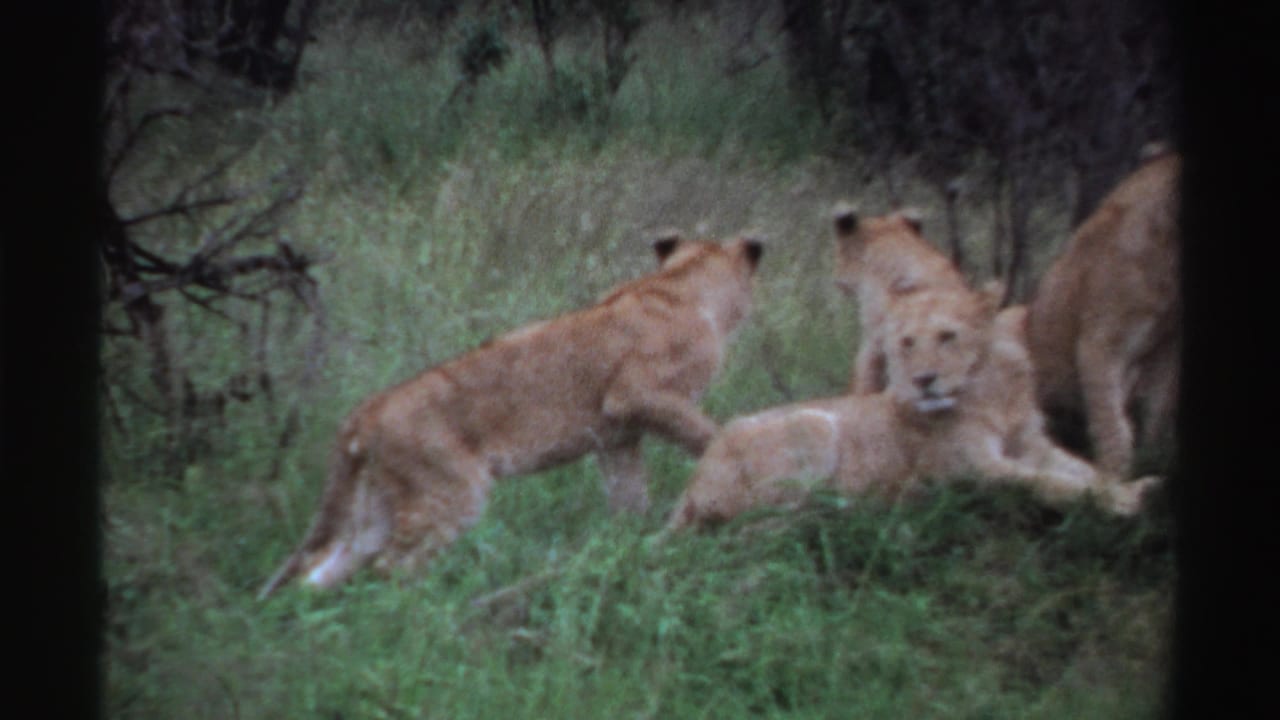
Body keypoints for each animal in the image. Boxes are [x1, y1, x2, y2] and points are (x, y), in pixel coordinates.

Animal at [259, 233, 764, 598]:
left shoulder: (617, 437)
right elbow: (713, 434)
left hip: (375, 506)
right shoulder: (639, 394)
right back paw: (424, 619)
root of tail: (368, 408)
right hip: (452, 493)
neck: (681, 284)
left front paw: (629, 543)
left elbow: (629, 495)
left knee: (323, 572)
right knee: (393, 567)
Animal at [667, 285, 1160, 531]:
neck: (992, 391)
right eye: (906, 343)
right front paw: (1121, 503)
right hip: (813, 425)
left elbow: (1081, 469)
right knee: (766, 517)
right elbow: (1047, 482)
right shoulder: (975, 469)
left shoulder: (1032, 444)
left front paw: (1135, 487)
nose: (924, 380)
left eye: (947, 336)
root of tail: (692, 485)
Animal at [1026, 151, 1180, 478]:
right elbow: (1111, 423)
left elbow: (1158, 411)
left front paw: (1152, 460)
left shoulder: (1166, 348)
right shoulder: (1098, 343)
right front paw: (1114, 477)